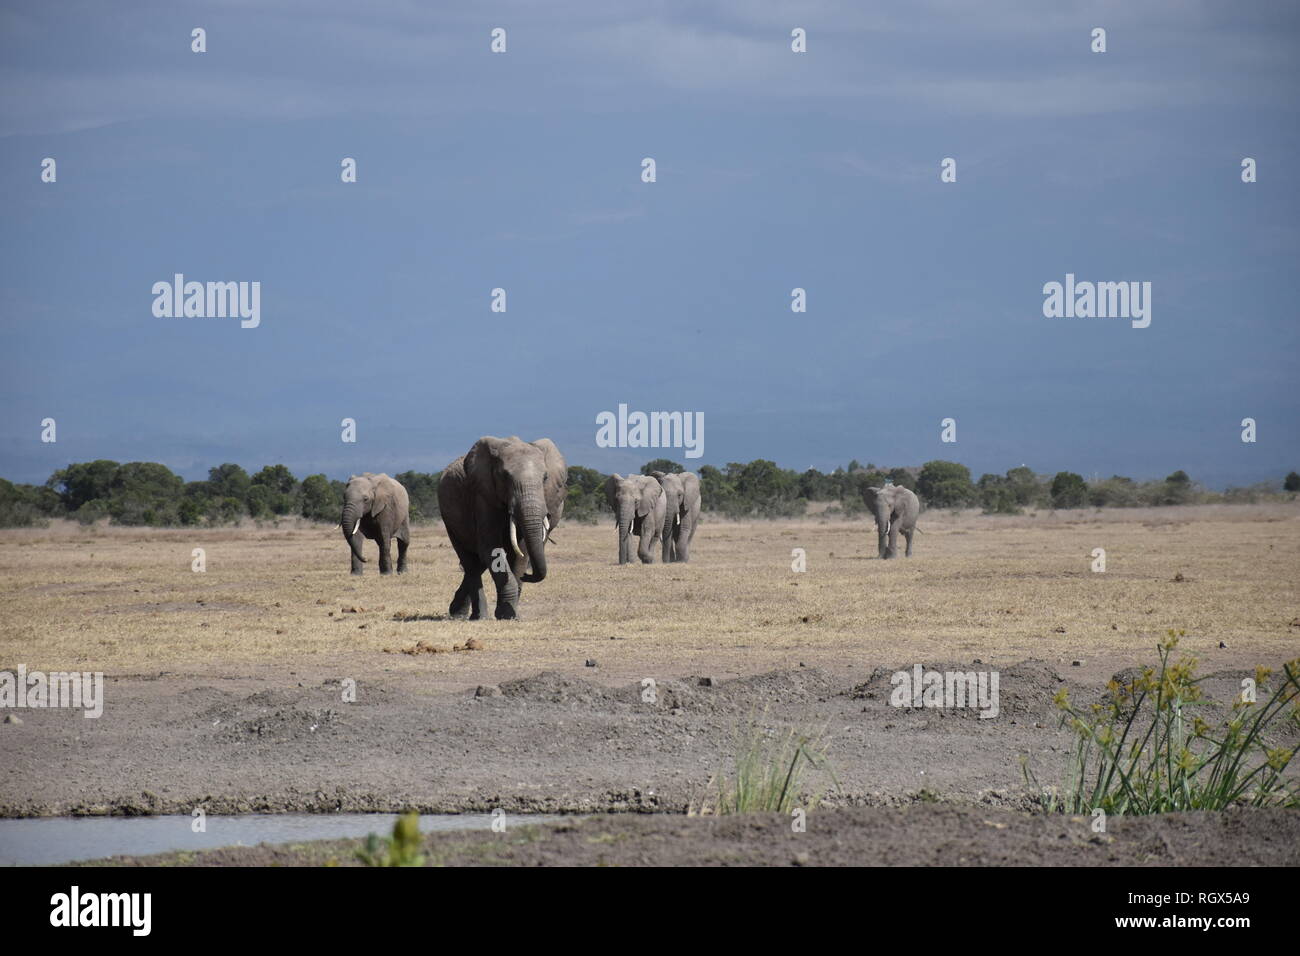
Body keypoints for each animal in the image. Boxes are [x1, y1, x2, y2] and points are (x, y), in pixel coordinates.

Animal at [439, 434, 566, 621]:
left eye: (545, 478)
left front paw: (512, 614)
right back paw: (475, 616)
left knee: (479, 563)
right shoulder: (483, 496)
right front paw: (506, 615)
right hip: (449, 518)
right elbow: (491, 548)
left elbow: (521, 552)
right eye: (505, 476)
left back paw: (458, 612)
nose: (527, 575)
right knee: (470, 561)